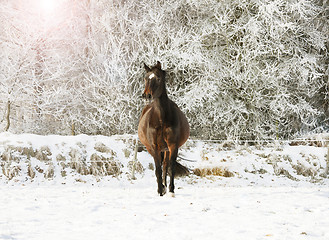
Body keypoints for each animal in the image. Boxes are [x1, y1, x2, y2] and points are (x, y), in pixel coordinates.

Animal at [138, 62, 190, 197]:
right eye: (145, 78)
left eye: (158, 78)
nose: (147, 95)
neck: (161, 117)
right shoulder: (154, 147)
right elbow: (157, 170)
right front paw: (160, 191)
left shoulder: (173, 145)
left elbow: (170, 168)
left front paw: (171, 190)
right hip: (152, 148)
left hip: (166, 149)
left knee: (166, 166)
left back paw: (166, 187)